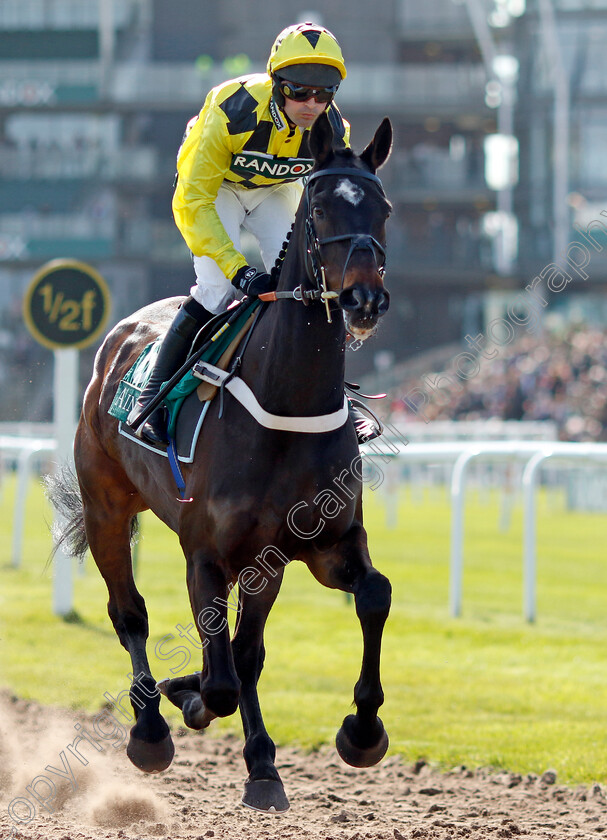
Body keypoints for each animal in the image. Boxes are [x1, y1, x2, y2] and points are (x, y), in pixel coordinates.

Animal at [52, 113, 394, 812]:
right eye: (322, 205)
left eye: (385, 209)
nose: (364, 300)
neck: (286, 404)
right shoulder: (206, 555)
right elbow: (218, 679)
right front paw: (186, 699)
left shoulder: (319, 545)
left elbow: (370, 597)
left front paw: (360, 731)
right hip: (106, 509)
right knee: (130, 614)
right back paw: (150, 728)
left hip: (263, 565)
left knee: (246, 650)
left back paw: (259, 760)